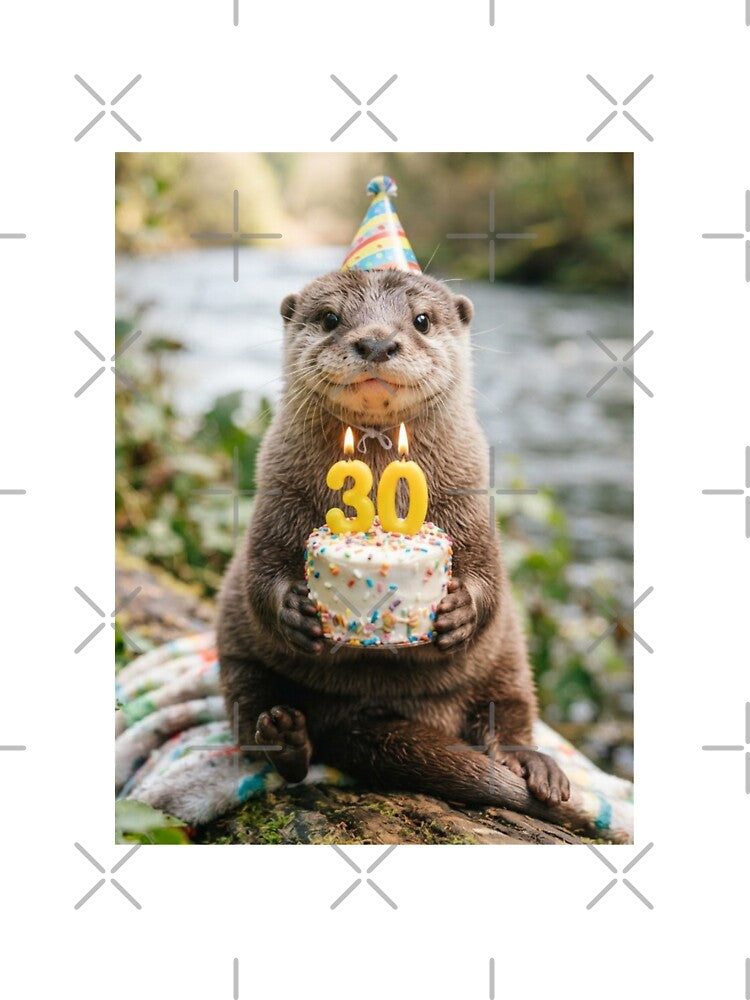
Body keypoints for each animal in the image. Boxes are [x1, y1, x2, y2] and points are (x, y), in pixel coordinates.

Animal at [218, 267, 576, 828]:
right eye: (330, 318)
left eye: (422, 320)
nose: (376, 342)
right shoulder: (274, 490)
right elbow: (260, 572)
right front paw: (295, 611)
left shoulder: (475, 495)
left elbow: (490, 577)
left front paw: (460, 610)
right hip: (235, 651)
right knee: (251, 703)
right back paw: (283, 738)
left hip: (509, 656)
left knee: (512, 708)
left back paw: (533, 765)